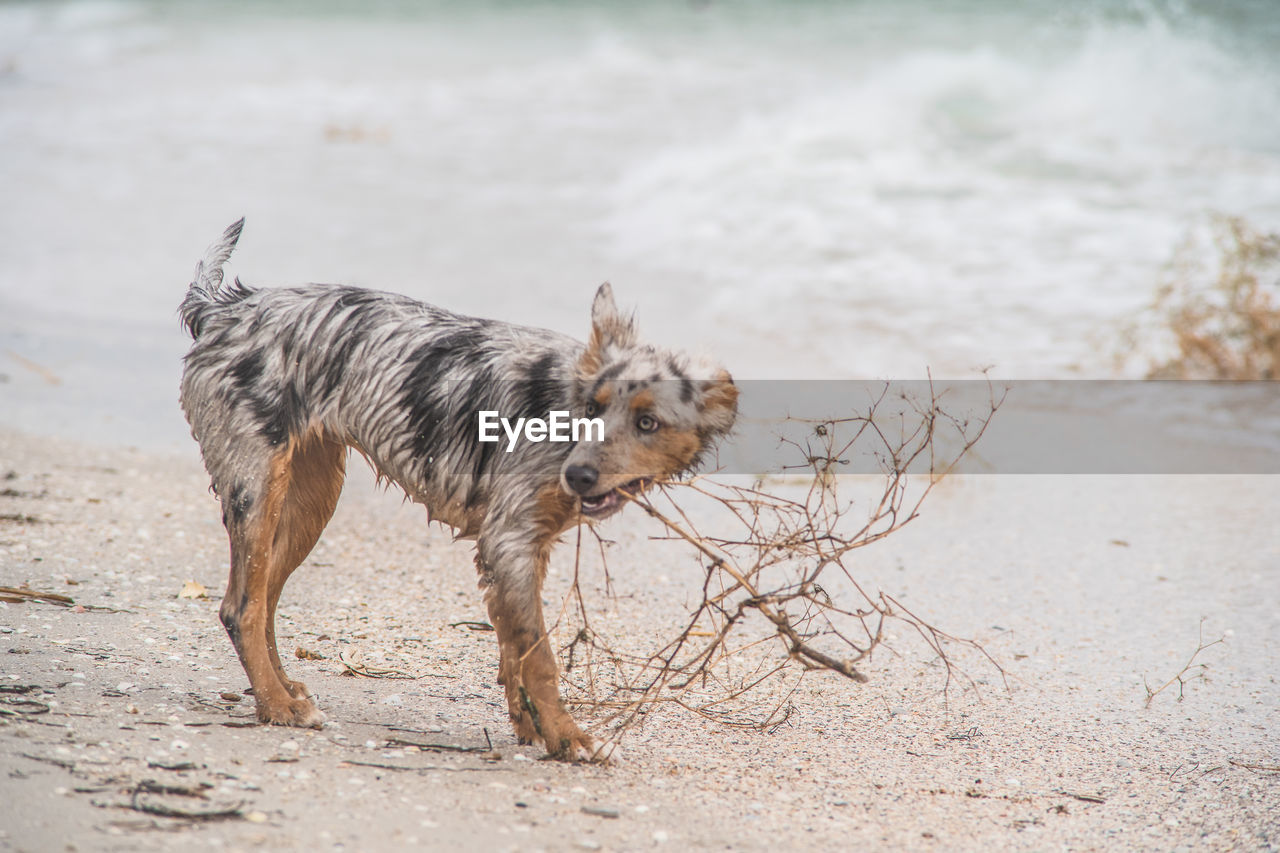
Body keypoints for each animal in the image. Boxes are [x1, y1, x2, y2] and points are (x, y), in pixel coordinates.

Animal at [175, 219, 737, 758]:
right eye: (593, 409)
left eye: (647, 423)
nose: (578, 477)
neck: (561, 415)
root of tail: (224, 310)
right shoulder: (509, 541)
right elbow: (538, 656)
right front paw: (567, 736)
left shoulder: (520, 552)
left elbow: (513, 650)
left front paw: (531, 727)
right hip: (257, 489)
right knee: (242, 607)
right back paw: (277, 705)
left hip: (309, 499)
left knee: (263, 599)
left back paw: (282, 689)